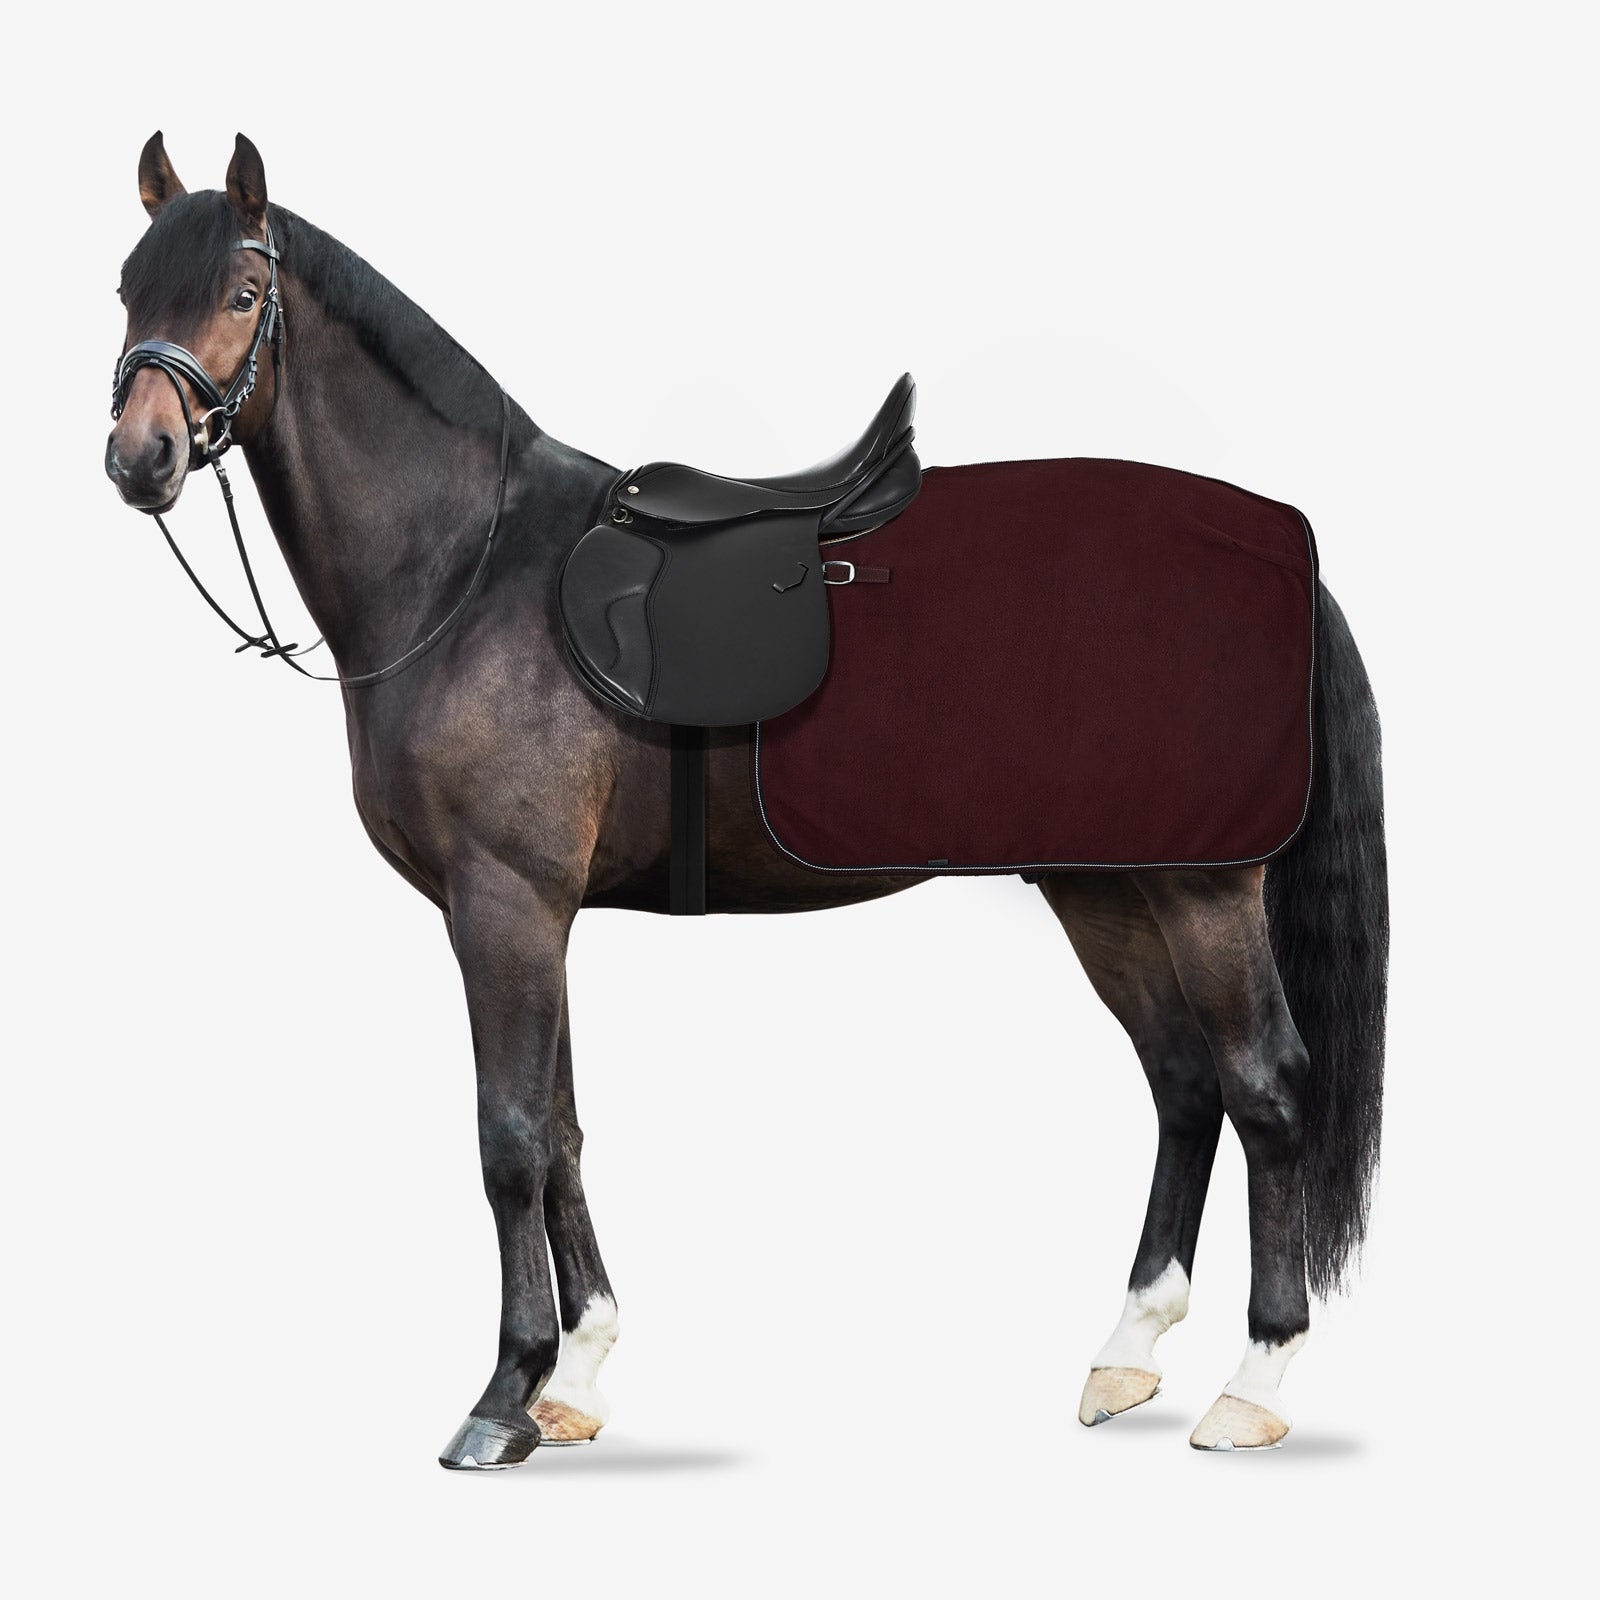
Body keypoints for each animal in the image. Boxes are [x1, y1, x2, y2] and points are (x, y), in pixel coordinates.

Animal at [105, 132, 1388, 1469]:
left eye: (240, 294)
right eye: (126, 290)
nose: (140, 457)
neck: (467, 564)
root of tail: (1277, 546)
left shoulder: (503, 904)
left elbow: (508, 1138)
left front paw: (504, 1394)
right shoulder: (534, 913)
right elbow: (562, 1129)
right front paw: (578, 1374)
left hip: (1202, 890)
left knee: (1266, 1088)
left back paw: (1256, 1378)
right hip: (1106, 888)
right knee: (1183, 1083)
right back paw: (1128, 1351)